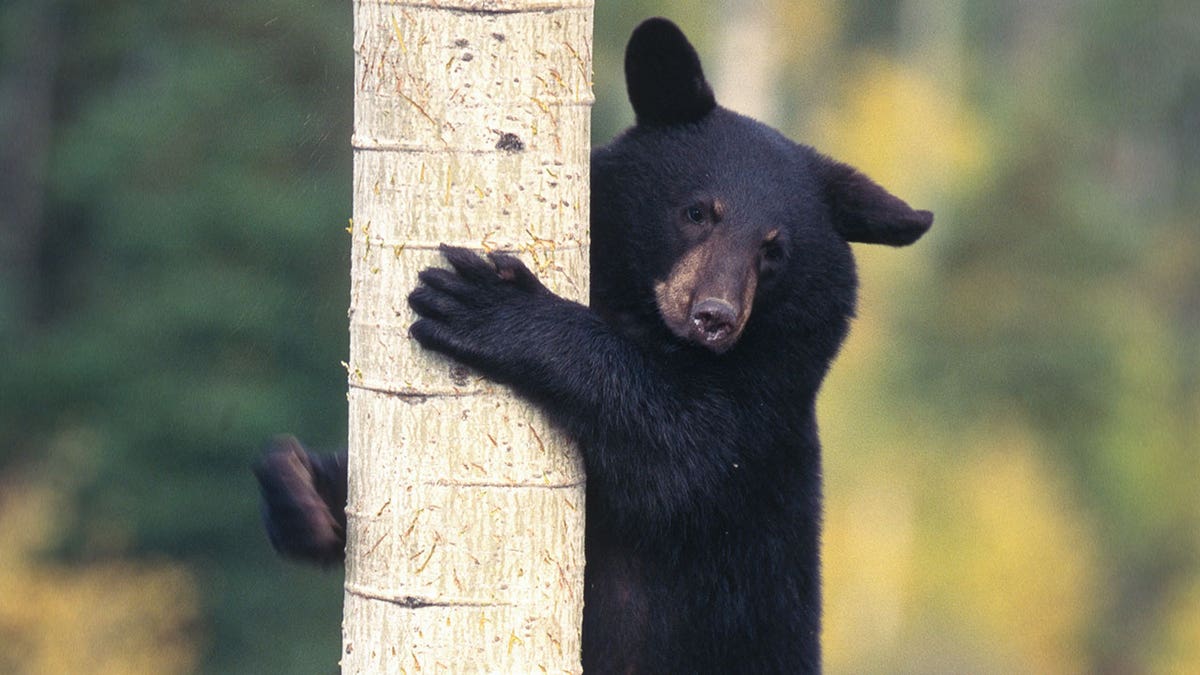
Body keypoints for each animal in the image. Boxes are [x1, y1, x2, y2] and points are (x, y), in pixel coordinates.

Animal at [258, 18, 931, 667]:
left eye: (774, 250)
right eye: (697, 212)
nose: (713, 316)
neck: (650, 324)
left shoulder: (766, 403)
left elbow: (679, 451)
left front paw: (487, 305)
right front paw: (301, 488)